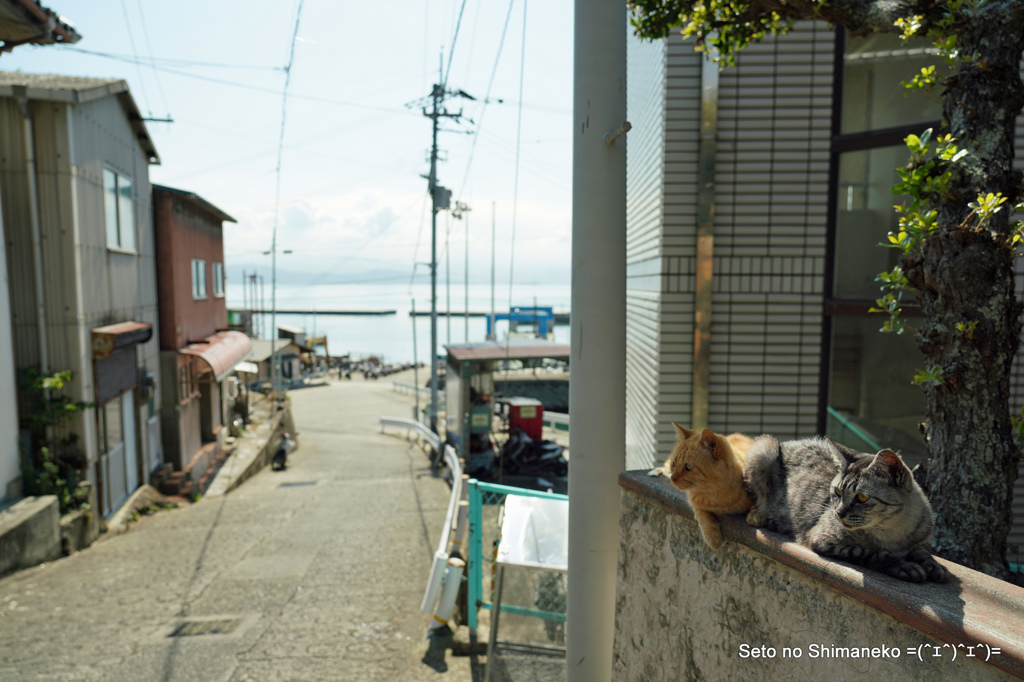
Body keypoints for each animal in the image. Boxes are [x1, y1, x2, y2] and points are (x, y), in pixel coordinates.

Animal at [663, 419, 753, 548]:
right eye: (673, 464)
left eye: (689, 467)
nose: (672, 478)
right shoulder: (695, 503)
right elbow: (702, 515)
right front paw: (712, 538)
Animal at [741, 432, 946, 581]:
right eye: (838, 492)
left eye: (862, 497)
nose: (838, 513)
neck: (894, 533)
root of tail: (789, 442)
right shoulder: (822, 538)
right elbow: (873, 553)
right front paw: (905, 566)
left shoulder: (921, 541)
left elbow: (922, 552)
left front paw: (934, 566)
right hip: (763, 448)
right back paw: (762, 517)